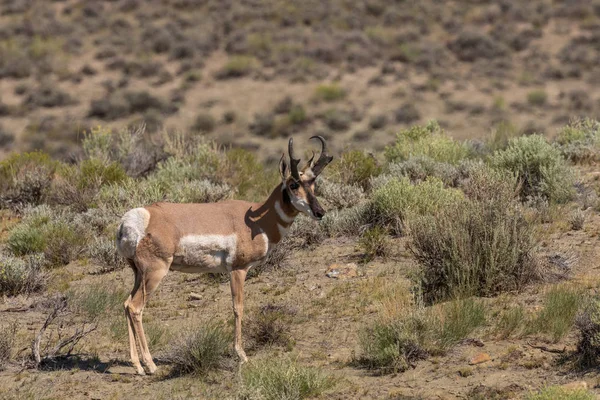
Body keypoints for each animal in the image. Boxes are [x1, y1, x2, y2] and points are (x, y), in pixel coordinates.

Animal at [115, 135, 336, 376]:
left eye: (313, 183)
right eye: (294, 184)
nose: (320, 212)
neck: (258, 220)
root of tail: (135, 218)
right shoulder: (238, 270)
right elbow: (238, 308)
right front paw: (242, 355)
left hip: (138, 273)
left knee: (126, 304)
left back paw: (137, 365)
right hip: (155, 272)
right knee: (136, 307)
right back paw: (150, 365)